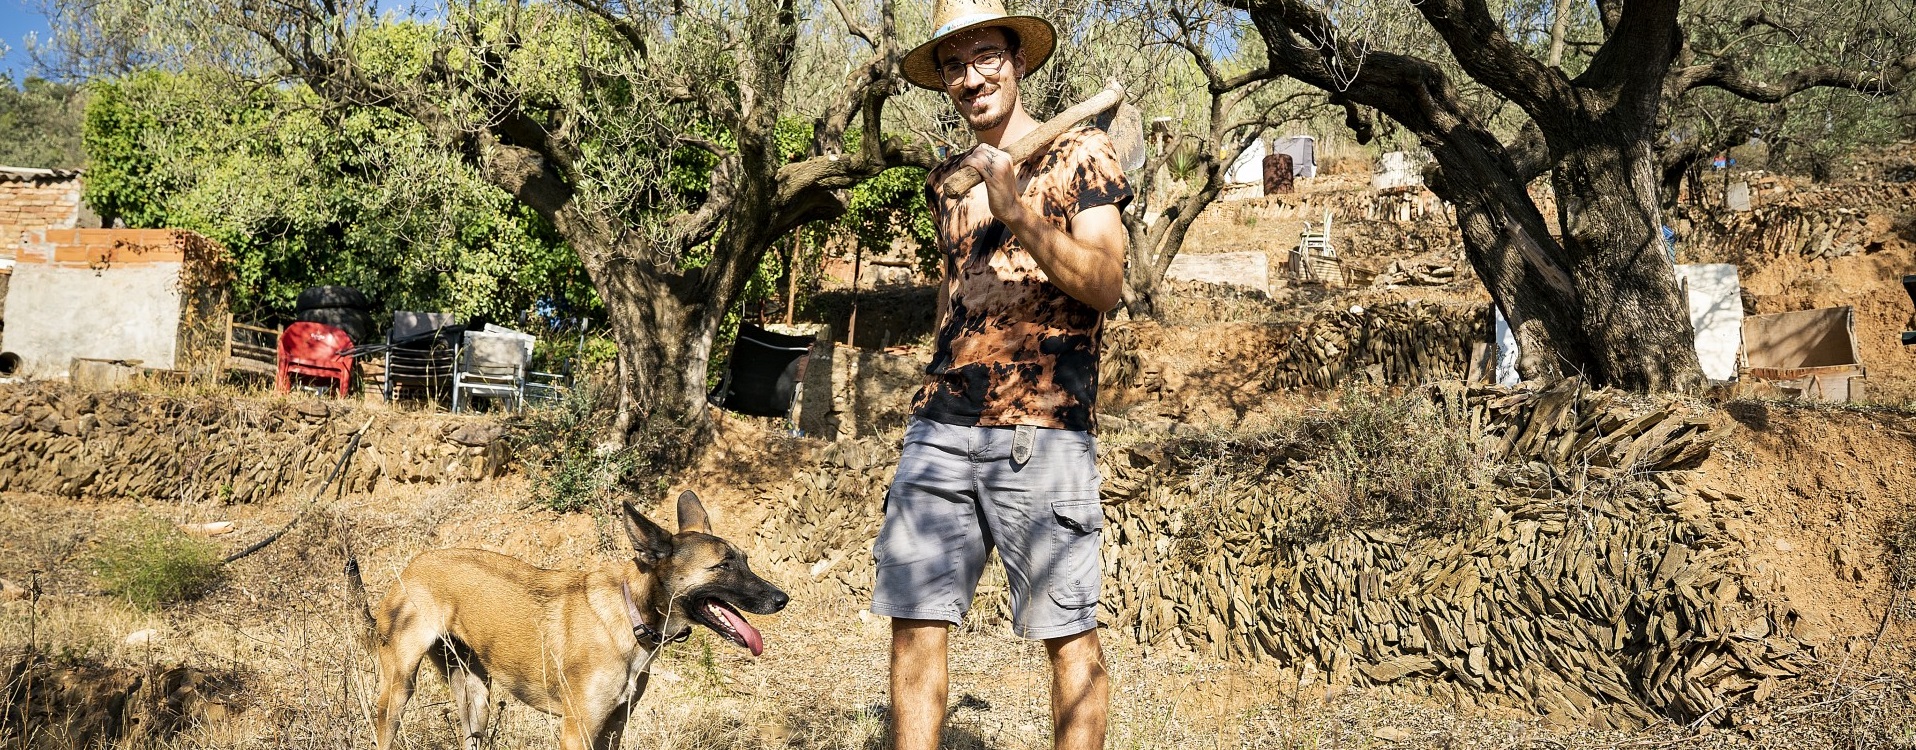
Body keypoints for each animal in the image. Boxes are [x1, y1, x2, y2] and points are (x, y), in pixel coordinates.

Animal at [344, 494, 785, 750]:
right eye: (723, 566)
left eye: (744, 560)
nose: (782, 599)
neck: (629, 616)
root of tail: (409, 568)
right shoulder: (579, 730)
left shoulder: (613, 728)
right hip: (398, 689)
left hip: (475, 697)